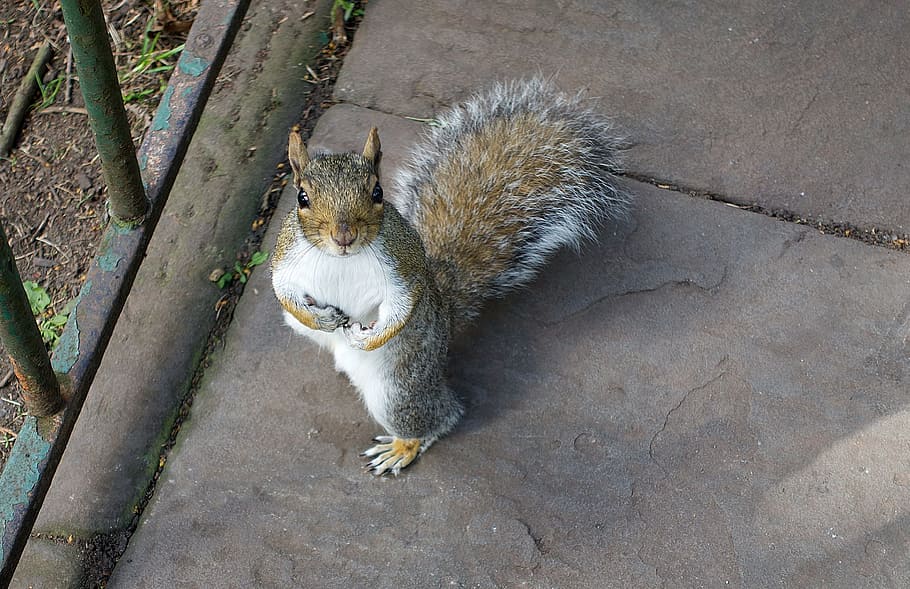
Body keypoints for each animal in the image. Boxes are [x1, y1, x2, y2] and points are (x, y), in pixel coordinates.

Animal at [271, 78, 630, 475]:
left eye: (377, 192)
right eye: (302, 198)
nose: (343, 236)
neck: (342, 259)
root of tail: (445, 312)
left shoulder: (404, 269)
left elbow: (401, 307)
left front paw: (370, 337)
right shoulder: (286, 259)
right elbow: (282, 290)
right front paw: (319, 317)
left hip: (399, 390)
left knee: (442, 416)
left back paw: (403, 446)